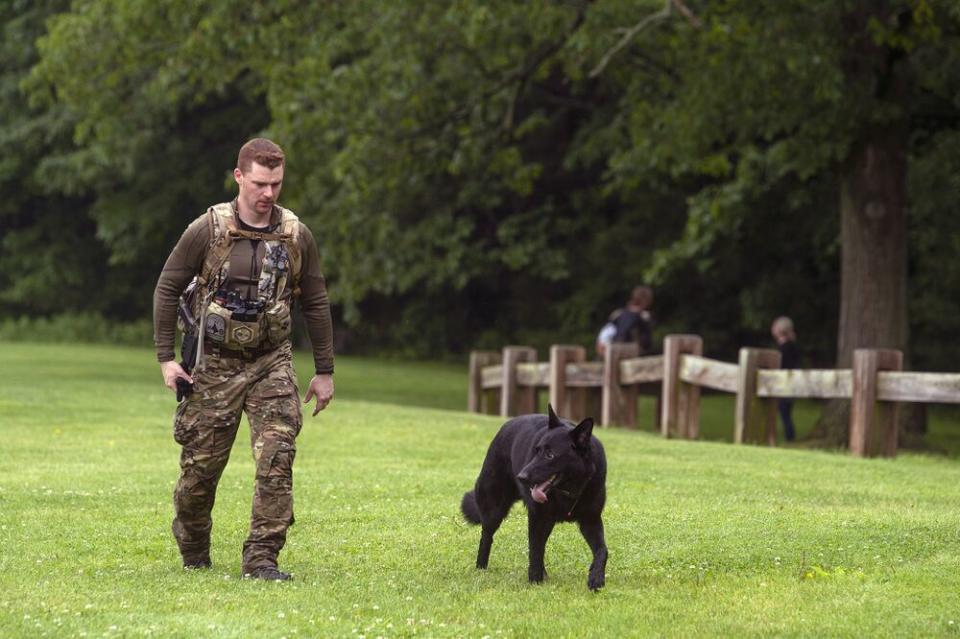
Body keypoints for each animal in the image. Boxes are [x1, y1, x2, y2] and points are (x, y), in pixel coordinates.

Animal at [460, 404, 608, 592]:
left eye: (550, 455)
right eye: (536, 450)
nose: (521, 477)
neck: (568, 489)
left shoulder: (591, 520)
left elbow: (602, 551)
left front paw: (596, 578)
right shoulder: (537, 518)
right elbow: (535, 550)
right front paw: (535, 580)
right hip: (494, 511)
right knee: (486, 537)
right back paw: (481, 568)